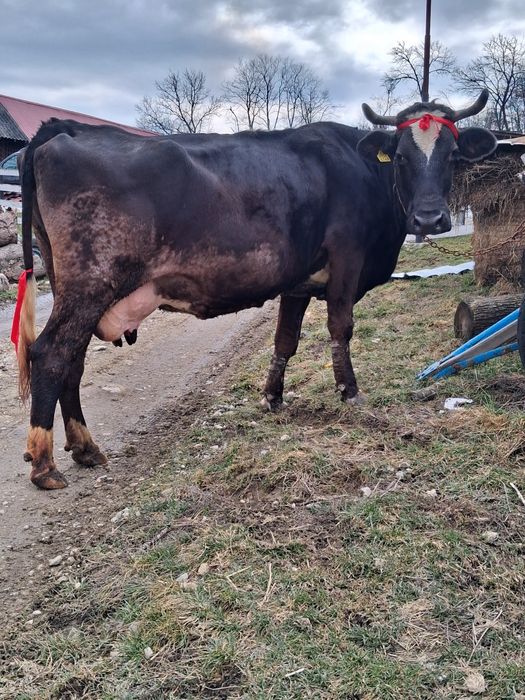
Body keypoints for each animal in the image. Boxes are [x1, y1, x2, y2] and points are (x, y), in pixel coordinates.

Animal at [14, 90, 495, 490]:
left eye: (453, 155)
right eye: (399, 157)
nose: (430, 219)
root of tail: (63, 129)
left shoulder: (299, 281)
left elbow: (285, 339)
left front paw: (272, 397)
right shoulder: (347, 260)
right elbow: (340, 328)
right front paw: (350, 392)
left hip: (76, 288)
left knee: (72, 360)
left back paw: (85, 448)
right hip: (90, 283)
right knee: (51, 353)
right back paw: (45, 463)